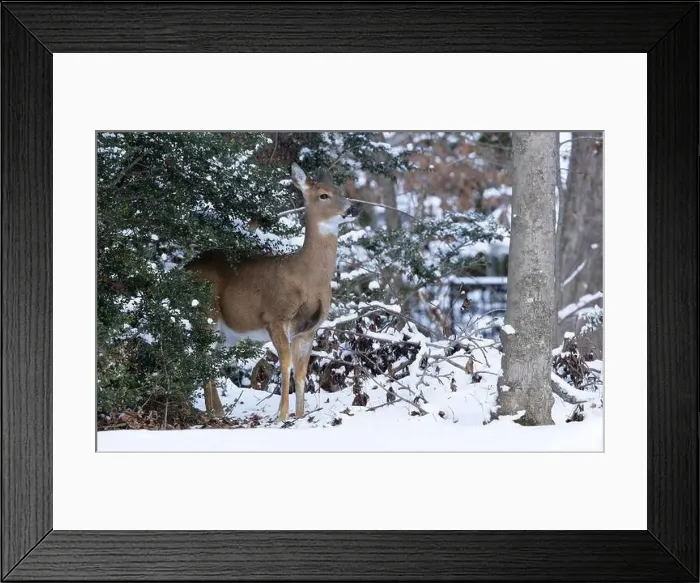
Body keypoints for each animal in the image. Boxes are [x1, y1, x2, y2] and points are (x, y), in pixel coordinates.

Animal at [184, 163, 359, 422]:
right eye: (323, 195)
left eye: (342, 191)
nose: (353, 208)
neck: (307, 277)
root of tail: (184, 268)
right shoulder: (275, 316)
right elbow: (285, 363)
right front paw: (282, 414)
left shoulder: (309, 328)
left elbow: (301, 370)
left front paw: (300, 415)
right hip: (205, 313)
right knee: (202, 356)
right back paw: (214, 414)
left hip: (227, 332)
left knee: (212, 361)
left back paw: (218, 412)